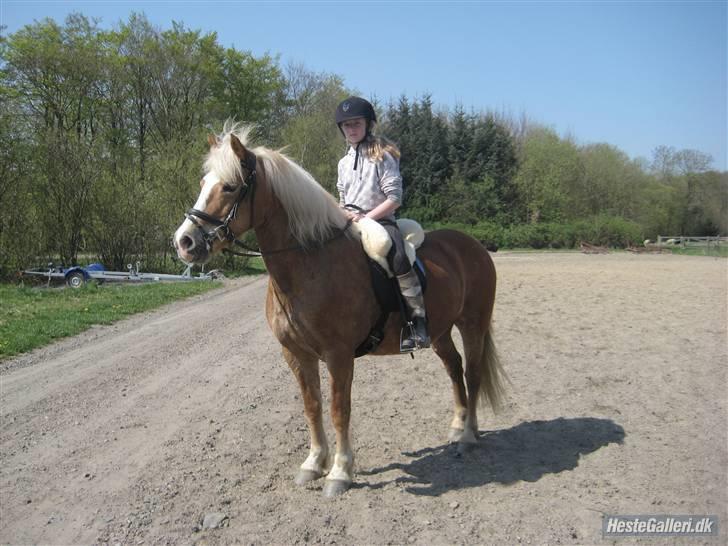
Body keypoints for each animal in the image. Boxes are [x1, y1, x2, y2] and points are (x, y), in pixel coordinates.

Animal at [175, 124, 506, 498]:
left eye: (230, 187)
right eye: (203, 183)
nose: (184, 242)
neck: (310, 264)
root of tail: (474, 244)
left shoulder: (339, 355)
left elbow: (338, 409)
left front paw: (340, 472)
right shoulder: (296, 354)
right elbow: (312, 406)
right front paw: (314, 463)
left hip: (473, 324)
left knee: (472, 373)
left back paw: (468, 436)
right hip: (439, 332)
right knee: (454, 368)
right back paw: (457, 427)